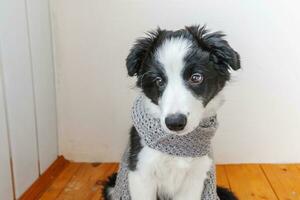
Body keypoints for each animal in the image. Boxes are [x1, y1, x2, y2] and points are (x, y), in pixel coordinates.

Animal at [104, 25, 240, 200]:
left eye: (196, 77)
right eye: (158, 81)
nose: (175, 123)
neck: (177, 146)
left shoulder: (195, 177)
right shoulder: (141, 172)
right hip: (112, 187)